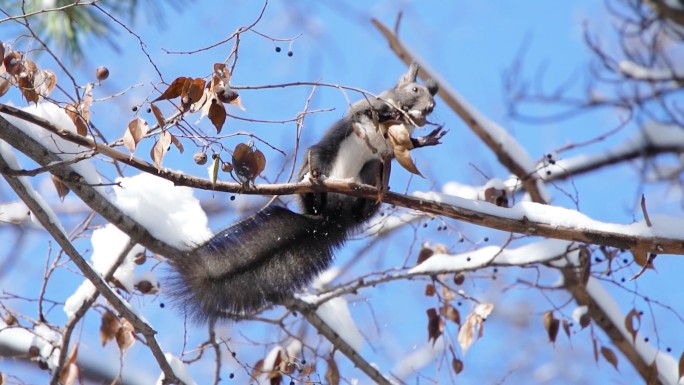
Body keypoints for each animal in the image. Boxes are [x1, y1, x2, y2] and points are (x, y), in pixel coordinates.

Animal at [166, 63, 444, 320]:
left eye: (432, 101)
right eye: (415, 89)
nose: (429, 108)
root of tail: (332, 218)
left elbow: (408, 144)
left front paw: (426, 139)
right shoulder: (362, 109)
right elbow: (367, 110)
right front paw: (389, 112)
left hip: (374, 167)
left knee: (365, 200)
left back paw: (371, 197)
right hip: (318, 156)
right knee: (316, 187)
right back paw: (315, 186)